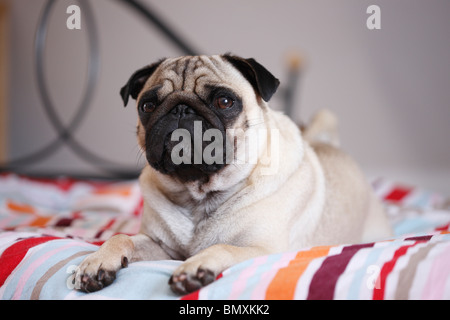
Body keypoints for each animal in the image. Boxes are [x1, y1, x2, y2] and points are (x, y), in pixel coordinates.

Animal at [73, 53, 390, 296]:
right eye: (148, 105)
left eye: (225, 102)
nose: (181, 109)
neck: (198, 193)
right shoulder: (160, 246)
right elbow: (120, 237)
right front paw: (97, 261)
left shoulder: (262, 247)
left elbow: (223, 248)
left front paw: (195, 267)